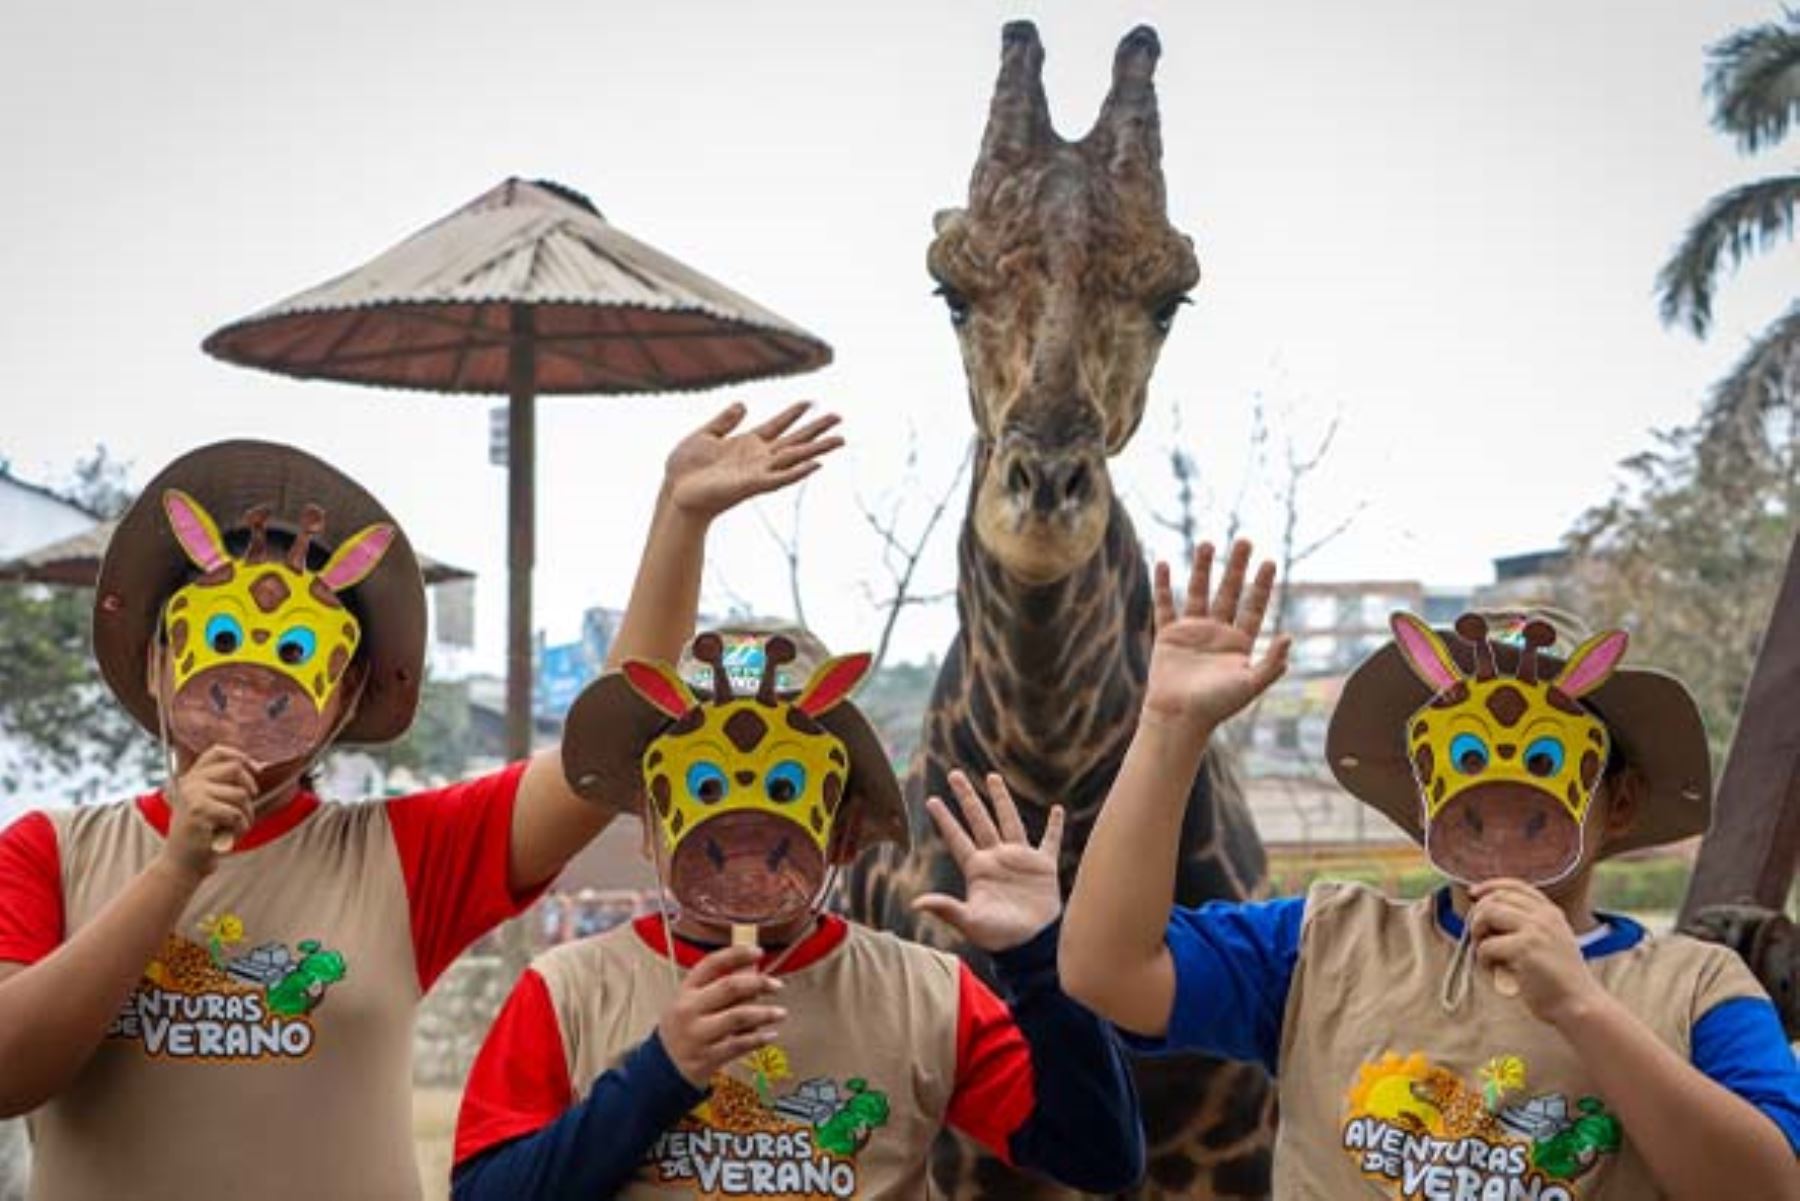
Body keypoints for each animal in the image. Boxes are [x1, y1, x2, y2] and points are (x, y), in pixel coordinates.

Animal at [846, 21, 1281, 1201]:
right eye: (950, 291)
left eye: (1171, 299)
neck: (1058, 789)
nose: (1042, 497)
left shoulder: (1234, 1147)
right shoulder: (975, 1160)